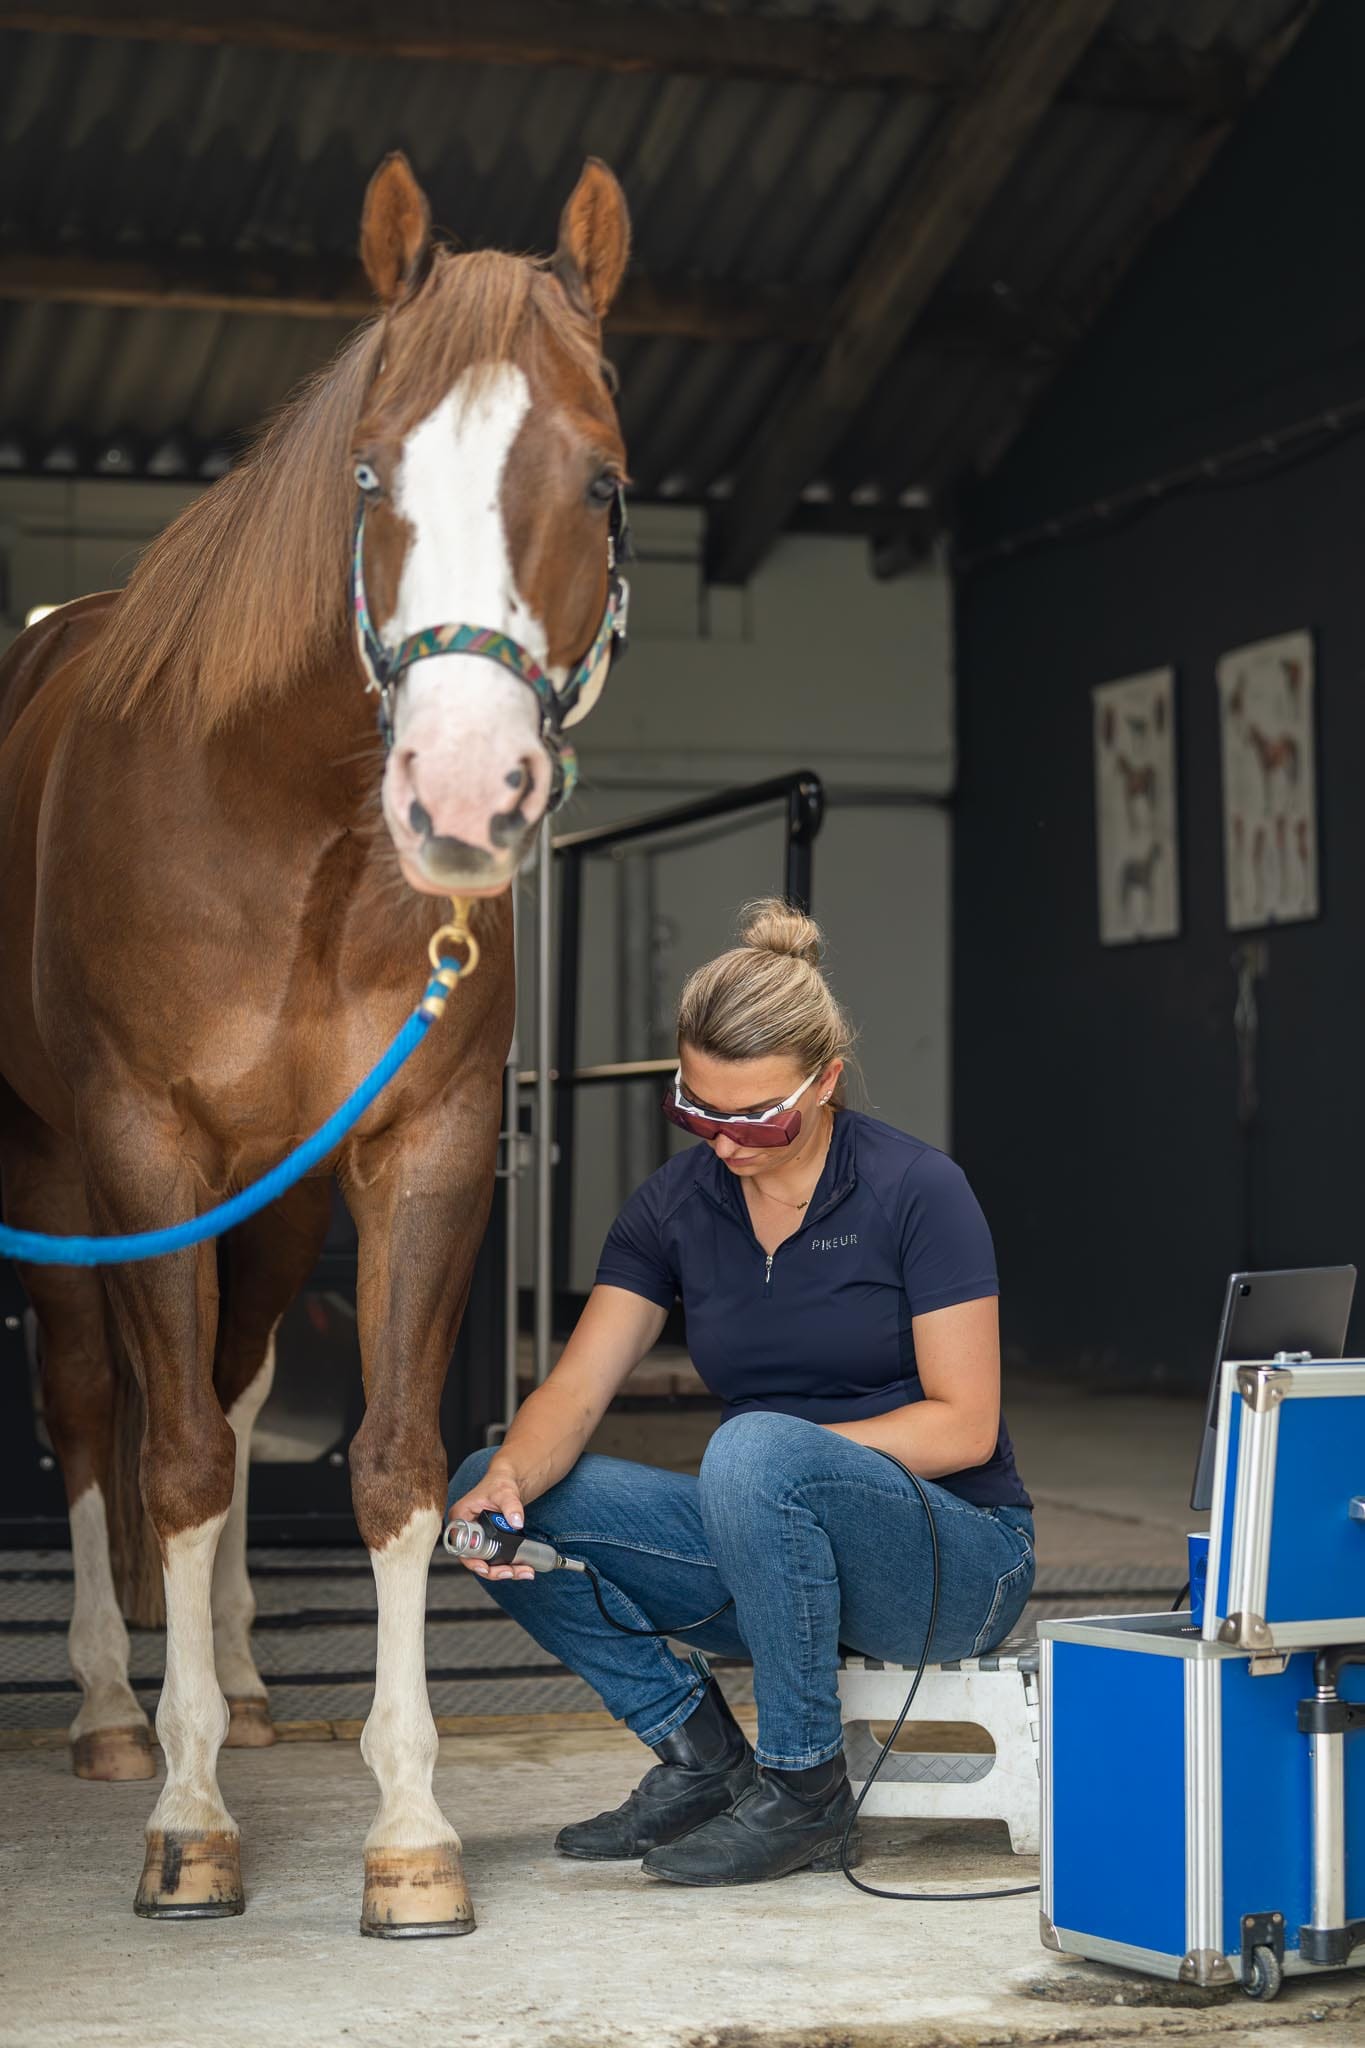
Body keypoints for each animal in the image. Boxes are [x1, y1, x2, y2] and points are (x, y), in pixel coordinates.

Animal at [0, 151, 631, 1937]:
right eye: (370, 473)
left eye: (602, 486)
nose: (464, 795)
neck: (289, 831)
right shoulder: (141, 1147)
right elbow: (175, 1465)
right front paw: (189, 1817)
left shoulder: (419, 1144)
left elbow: (391, 1466)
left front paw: (407, 1826)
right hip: (62, 1177)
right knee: (96, 1409)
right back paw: (109, 1712)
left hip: (274, 1209)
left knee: (235, 1384)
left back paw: (236, 1689)